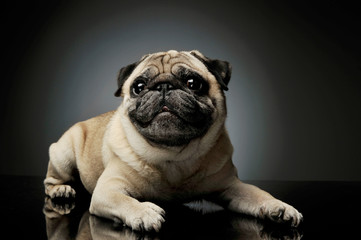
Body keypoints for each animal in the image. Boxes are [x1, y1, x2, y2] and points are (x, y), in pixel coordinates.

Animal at [43, 49, 302, 232]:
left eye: (193, 84)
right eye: (138, 87)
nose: (163, 86)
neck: (172, 154)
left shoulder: (231, 186)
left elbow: (257, 194)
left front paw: (279, 207)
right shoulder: (108, 190)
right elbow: (124, 201)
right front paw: (144, 213)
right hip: (63, 154)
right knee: (51, 179)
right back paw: (62, 190)